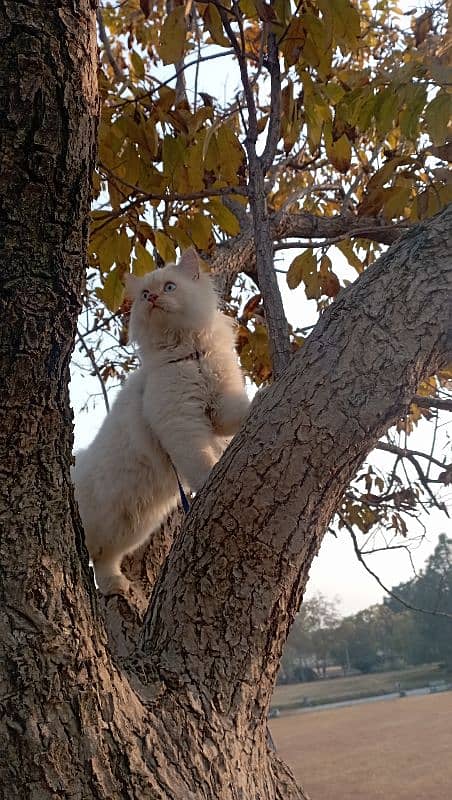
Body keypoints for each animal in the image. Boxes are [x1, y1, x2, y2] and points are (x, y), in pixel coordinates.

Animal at [75, 248, 251, 592]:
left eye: (170, 287)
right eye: (145, 294)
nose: (154, 298)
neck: (191, 356)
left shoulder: (220, 405)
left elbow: (239, 411)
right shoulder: (181, 423)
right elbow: (201, 462)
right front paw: (209, 479)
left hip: (131, 528)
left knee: (104, 558)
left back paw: (116, 585)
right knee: (95, 554)